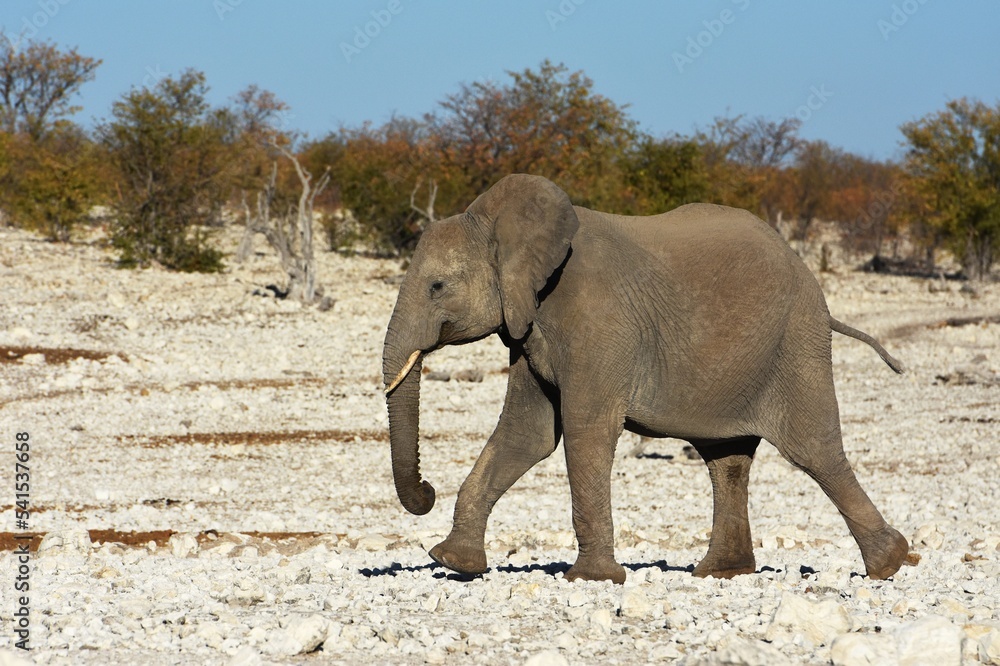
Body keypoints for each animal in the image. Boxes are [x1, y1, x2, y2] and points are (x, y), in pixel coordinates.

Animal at [382, 174, 909, 585]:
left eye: (437, 287)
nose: (426, 491)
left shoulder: (598, 323)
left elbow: (586, 430)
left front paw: (592, 579)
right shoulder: (529, 328)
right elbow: (526, 434)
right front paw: (454, 562)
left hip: (797, 340)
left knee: (812, 449)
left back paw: (889, 564)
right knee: (726, 460)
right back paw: (721, 572)